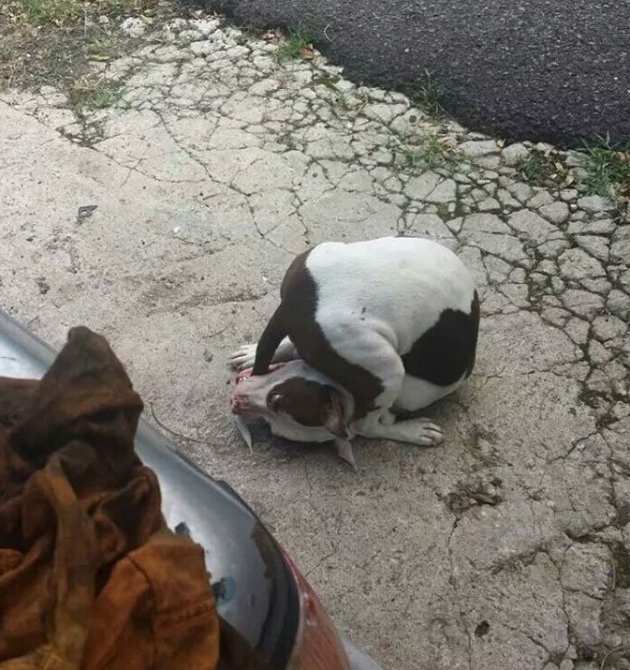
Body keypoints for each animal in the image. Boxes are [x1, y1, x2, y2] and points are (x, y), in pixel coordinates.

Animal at [229, 237, 479, 467]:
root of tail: (293, 304)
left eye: (276, 400)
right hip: (387, 368)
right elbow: (369, 426)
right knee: (368, 426)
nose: (237, 400)